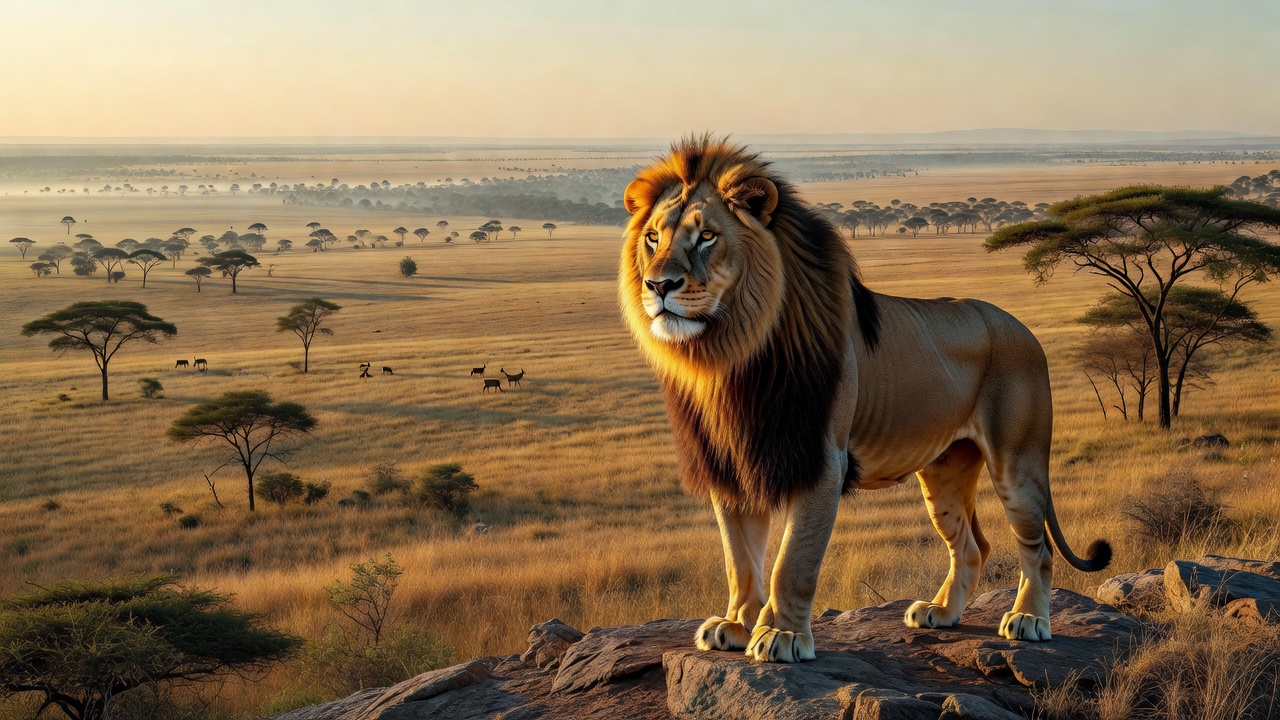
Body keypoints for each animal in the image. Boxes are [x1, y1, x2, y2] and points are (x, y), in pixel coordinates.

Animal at [618, 136, 1111, 663]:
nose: (658, 285)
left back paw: (1029, 620)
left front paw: (782, 635)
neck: (733, 354)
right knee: (972, 546)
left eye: (707, 236)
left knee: (1038, 549)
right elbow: (741, 559)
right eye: (653, 238)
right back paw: (940, 613)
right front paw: (736, 625)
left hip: (1017, 464)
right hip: (945, 471)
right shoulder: (733, 465)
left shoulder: (821, 461)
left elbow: (792, 562)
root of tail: (1025, 329)